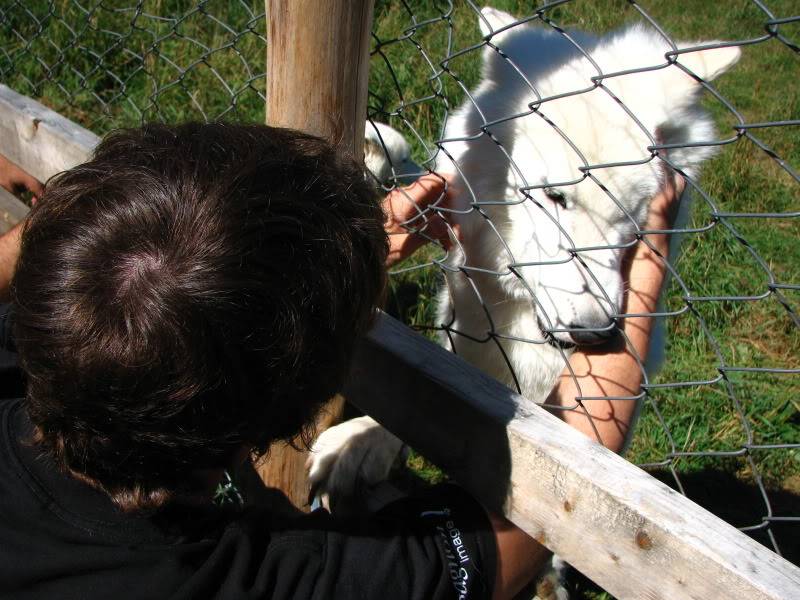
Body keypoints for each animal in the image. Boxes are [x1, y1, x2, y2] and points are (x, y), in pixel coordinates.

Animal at [310, 8, 740, 592]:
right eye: (556, 197)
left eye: (637, 212)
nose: (595, 334)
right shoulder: (464, 334)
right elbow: (432, 390)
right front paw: (360, 441)